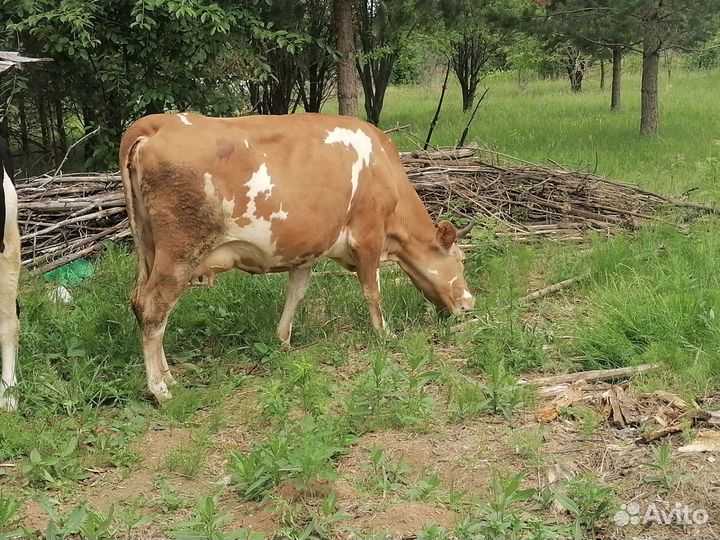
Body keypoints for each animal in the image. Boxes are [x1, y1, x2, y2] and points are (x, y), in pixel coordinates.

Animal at [119, 113, 475, 402]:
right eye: (460, 260)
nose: (470, 304)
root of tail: (156, 123)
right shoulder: (368, 235)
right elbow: (372, 290)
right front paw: (384, 333)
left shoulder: (309, 248)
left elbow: (296, 292)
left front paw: (283, 340)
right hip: (180, 251)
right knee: (153, 308)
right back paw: (161, 390)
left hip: (150, 250)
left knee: (144, 305)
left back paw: (167, 377)